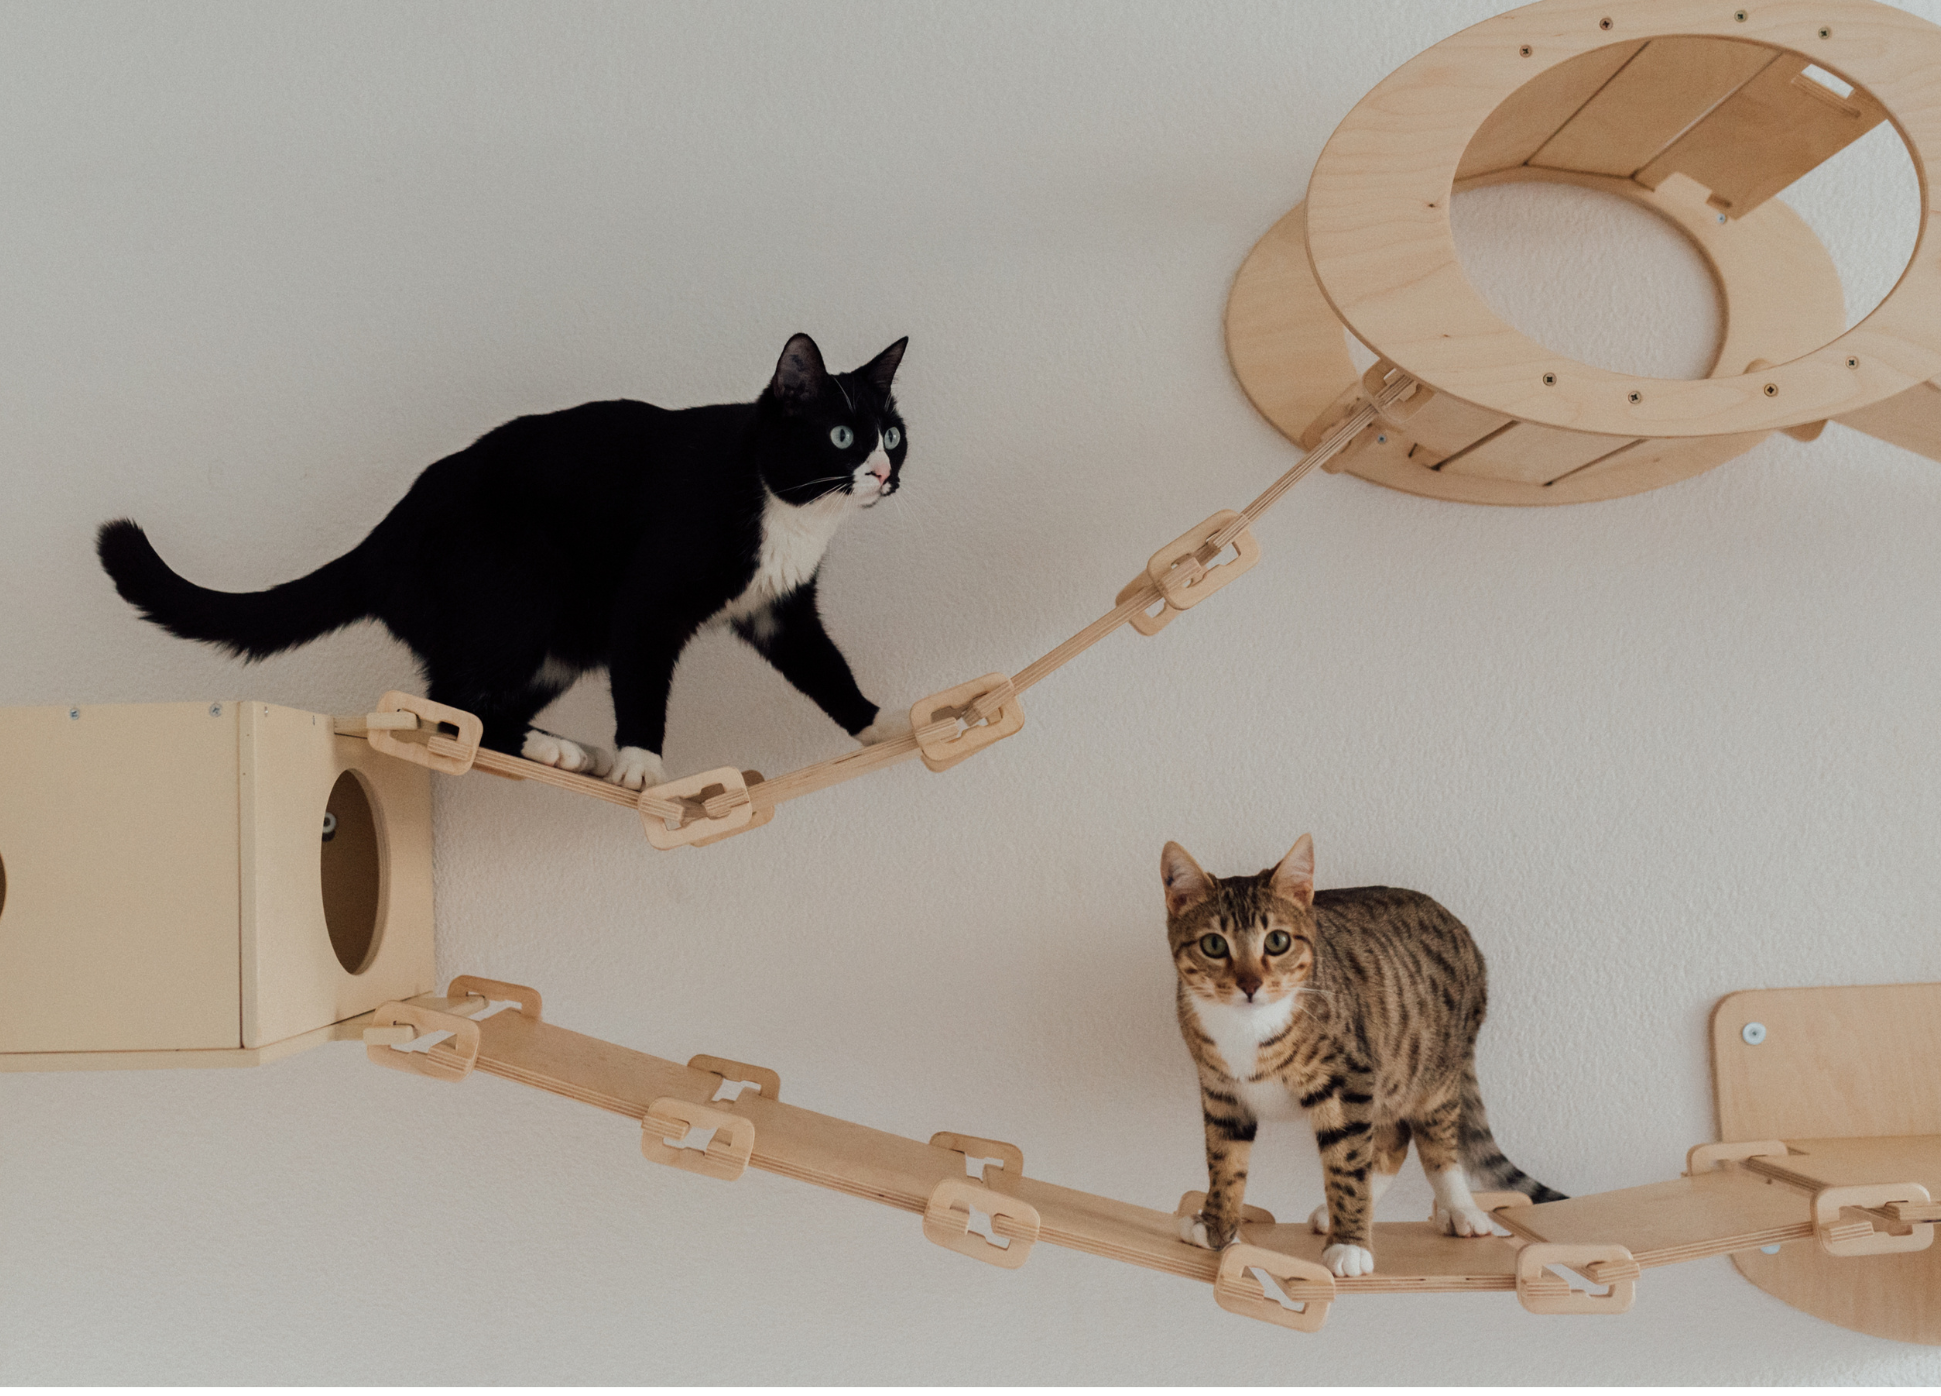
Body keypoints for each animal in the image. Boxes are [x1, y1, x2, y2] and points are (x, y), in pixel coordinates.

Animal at [104, 328, 916, 784]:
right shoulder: (648, 598)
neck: (785, 507)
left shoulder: (782, 610)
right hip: (520, 580)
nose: (883, 472)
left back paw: (555, 747)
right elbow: (643, 682)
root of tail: (382, 536)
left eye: (892, 433)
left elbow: (825, 668)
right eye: (842, 436)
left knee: (471, 703)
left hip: (558, 638)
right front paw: (642, 767)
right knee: (454, 706)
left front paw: (882, 727)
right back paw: (562, 753)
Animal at [1164, 834, 1560, 1281]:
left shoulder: (1348, 1078)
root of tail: (1465, 936)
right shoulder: (1221, 1092)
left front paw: (1349, 1245)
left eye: (1277, 941)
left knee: (1432, 1141)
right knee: (1392, 1140)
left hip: (1432, 1068)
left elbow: (1347, 1163)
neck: (1247, 1029)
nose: (1250, 984)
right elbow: (1224, 1161)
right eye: (1214, 944)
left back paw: (1459, 1209)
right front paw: (1215, 1226)